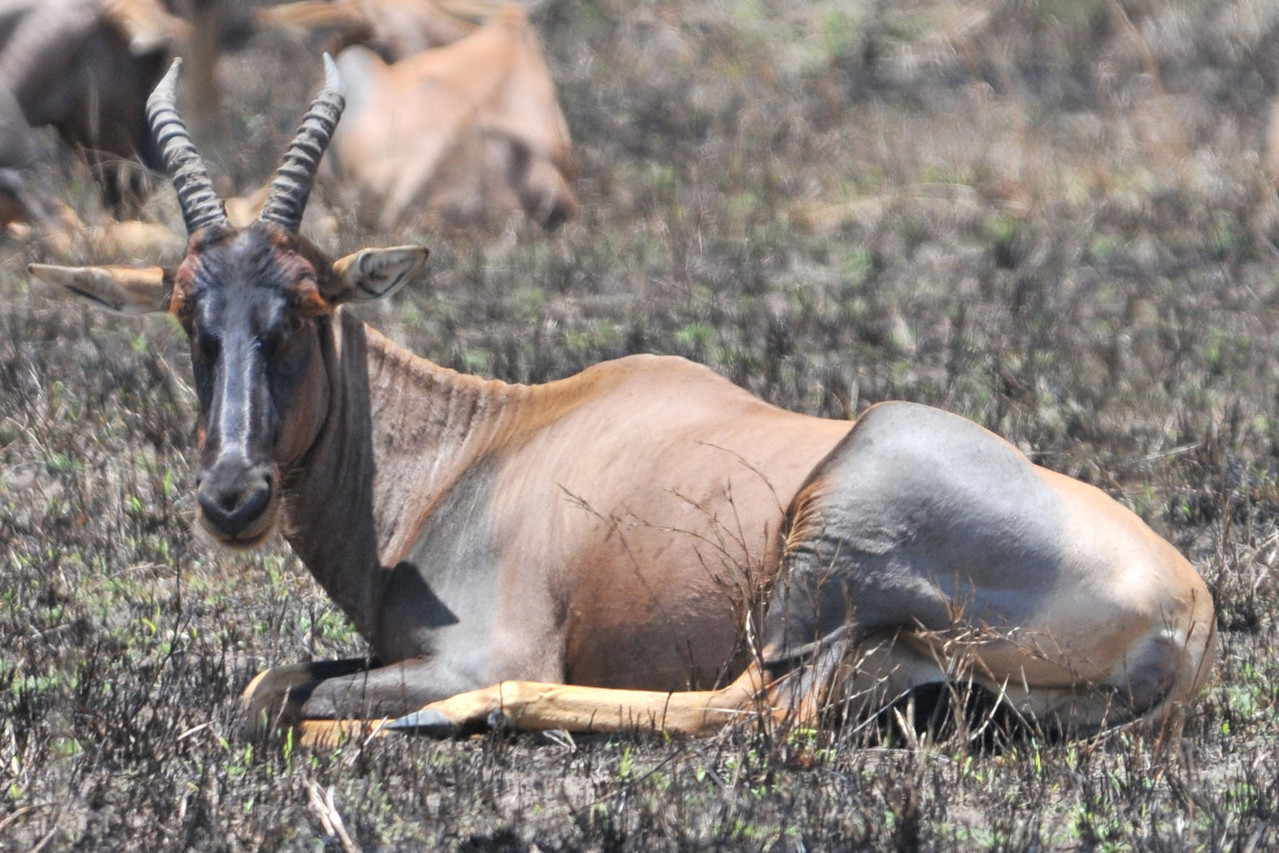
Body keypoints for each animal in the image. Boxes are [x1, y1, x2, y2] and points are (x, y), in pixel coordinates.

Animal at [24, 56, 1212, 746]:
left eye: (308, 304)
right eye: (187, 309)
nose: (233, 495)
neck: (483, 442)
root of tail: (1185, 613)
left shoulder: (487, 644)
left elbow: (283, 700)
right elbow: (273, 682)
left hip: (817, 573)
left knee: (760, 708)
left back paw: (456, 723)